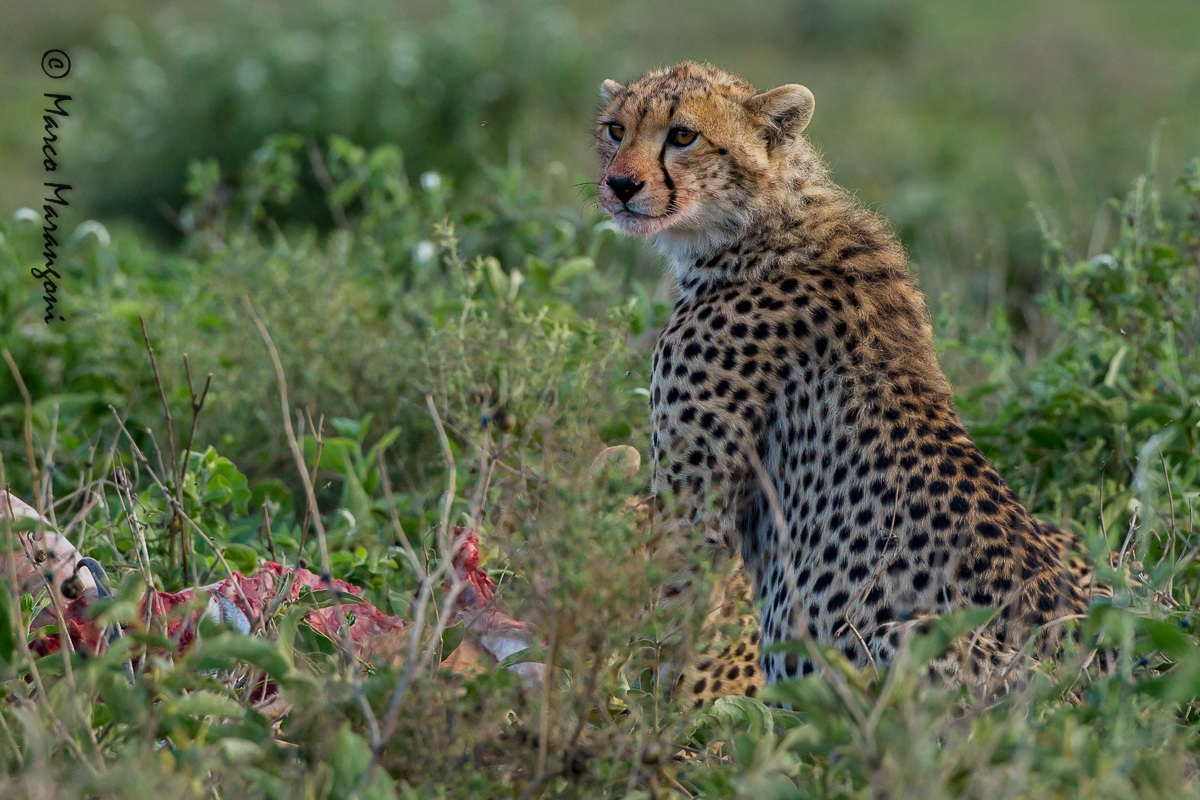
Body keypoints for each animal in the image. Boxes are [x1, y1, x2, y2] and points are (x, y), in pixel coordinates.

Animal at [593, 61, 1092, 703]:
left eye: (682, 136)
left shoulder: (694, 503)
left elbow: (667, 610)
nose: (620, 185)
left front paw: (645, 711)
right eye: (615, 129)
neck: (758, 227)